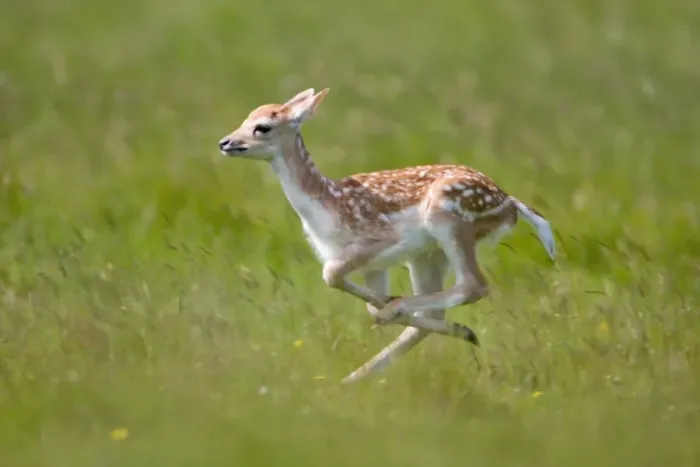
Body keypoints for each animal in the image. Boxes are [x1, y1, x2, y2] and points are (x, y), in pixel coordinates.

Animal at [218, 88, 556, 384]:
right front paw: (383, 304)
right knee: (436, 314)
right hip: (427, 255)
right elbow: (364, 300)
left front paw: (388, 305)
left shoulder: (375, 241)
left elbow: (331, 273)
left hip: (449, 219)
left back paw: (401, 315)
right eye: (247, 116)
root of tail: (510, 203)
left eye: (263, 127)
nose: (225, 142)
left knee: (473, 284)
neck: (327, 205)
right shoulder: (374, 266)